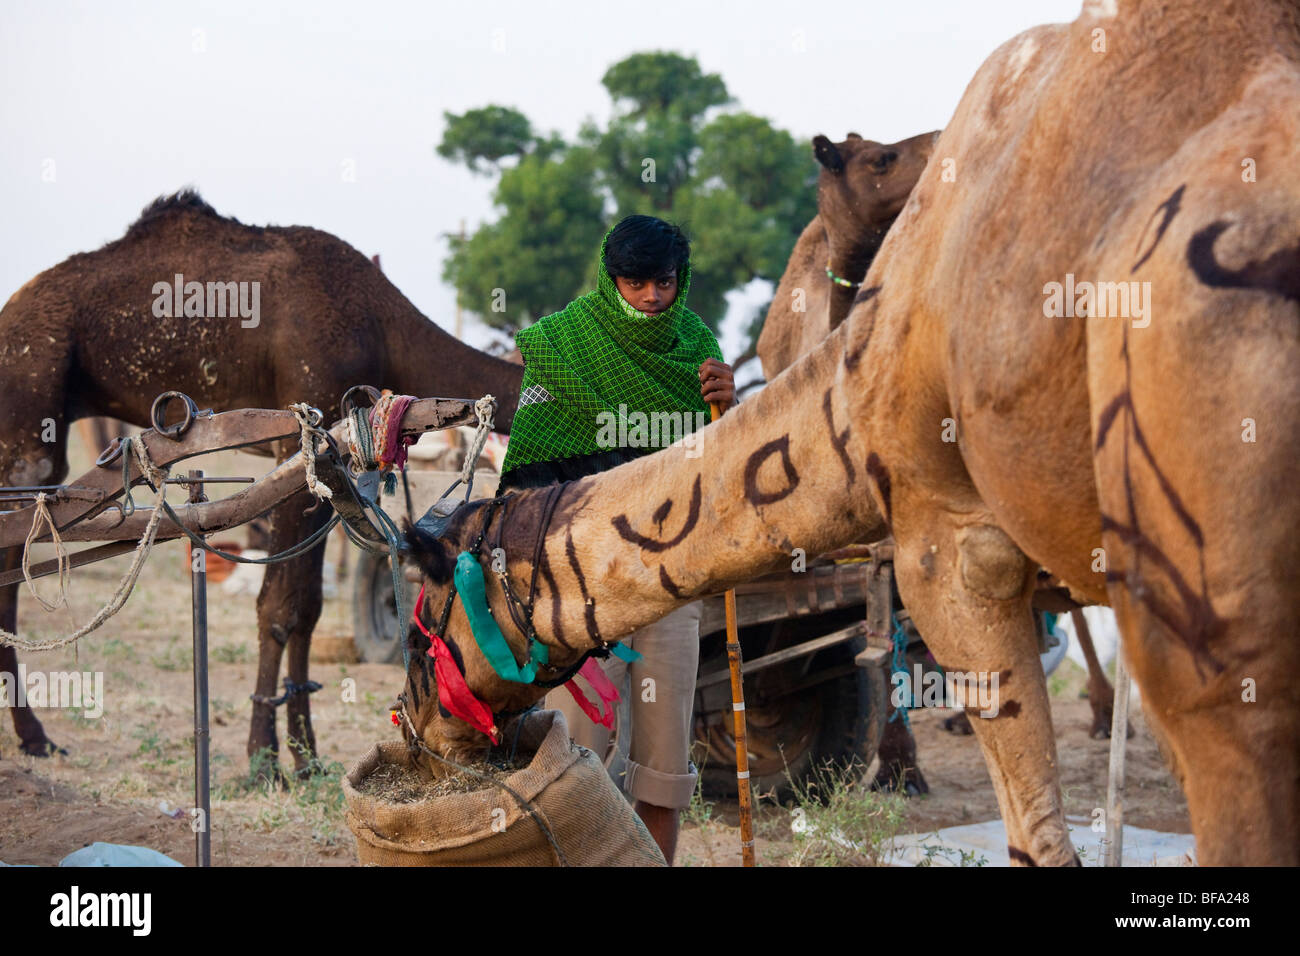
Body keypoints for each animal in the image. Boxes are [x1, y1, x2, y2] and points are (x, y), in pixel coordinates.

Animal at [2, 191, 525, 775]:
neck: (382, 323)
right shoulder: (302, 434)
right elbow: (280, 605)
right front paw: (264, 758)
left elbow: (308, 607)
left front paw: (307, 755)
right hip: (29, 405)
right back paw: (33, 734)